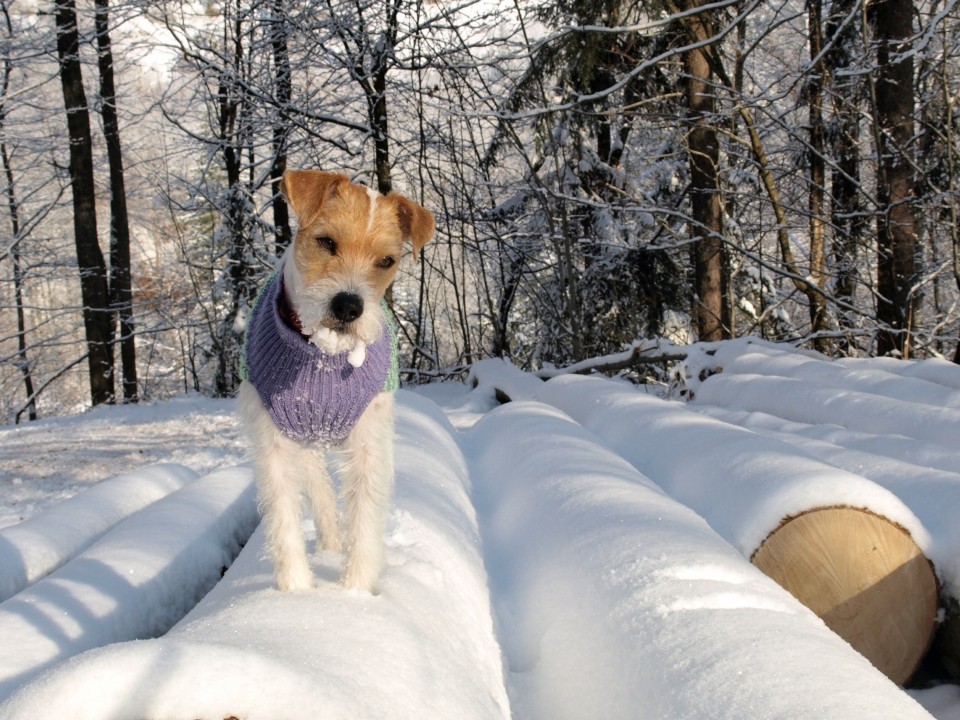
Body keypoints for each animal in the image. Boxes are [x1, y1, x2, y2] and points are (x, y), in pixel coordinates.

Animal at [240, 169, 436, 592]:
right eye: (326, 241)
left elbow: (363, 525)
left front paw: (354, 595)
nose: (348, 306)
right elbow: (284, 524)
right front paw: (298, 592)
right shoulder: (274, 446)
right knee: (322, 497)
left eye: (386, 261)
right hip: (304, 443)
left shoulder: (368, 447)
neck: (322, 356)